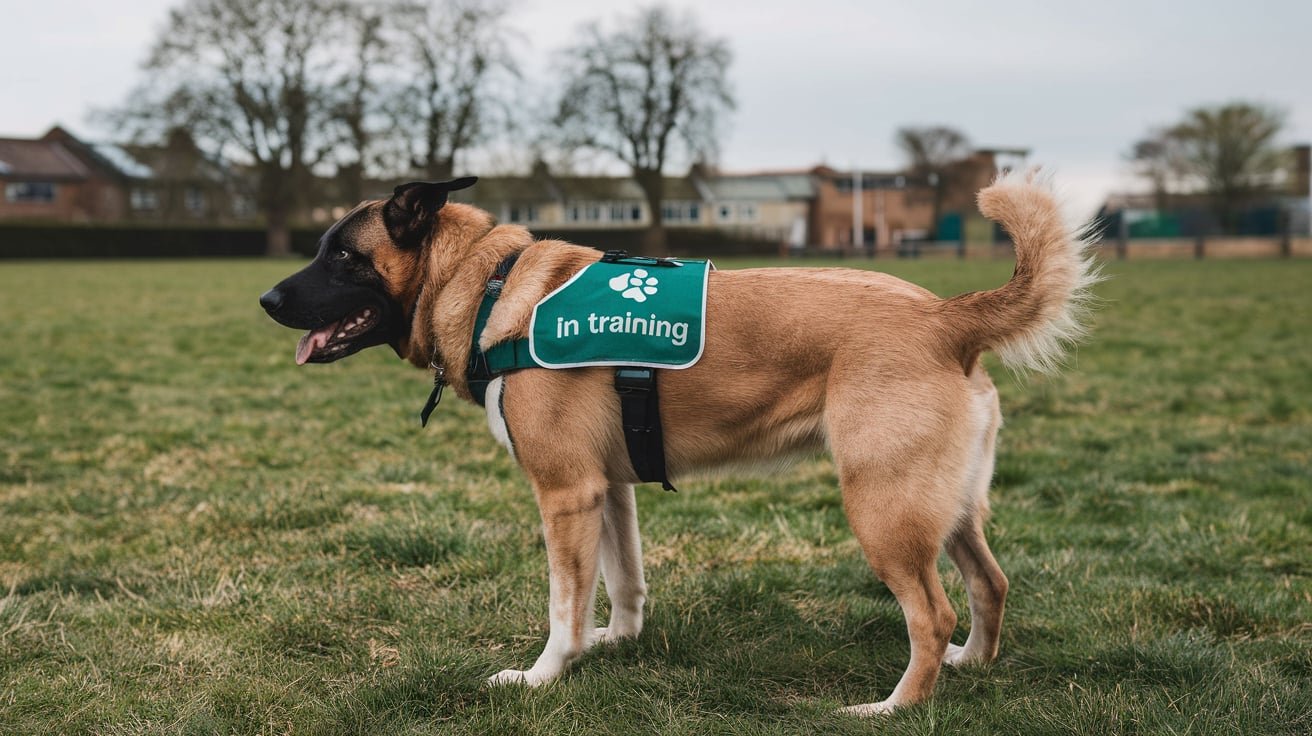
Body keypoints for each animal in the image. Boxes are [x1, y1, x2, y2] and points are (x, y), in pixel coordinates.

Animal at [258, 171, 1096, 713]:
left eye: (343, 255)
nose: (265, 298)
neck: (489, 284)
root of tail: (949, 316)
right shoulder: (608, 490)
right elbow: (622, 583)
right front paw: (613, 644)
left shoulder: (565, 495)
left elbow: (563, 605)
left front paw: (544, 675)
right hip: (944, 508)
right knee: (991, 584)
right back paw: (970, 668)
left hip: (883, 509)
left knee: (933, 613)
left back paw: (894, 707)